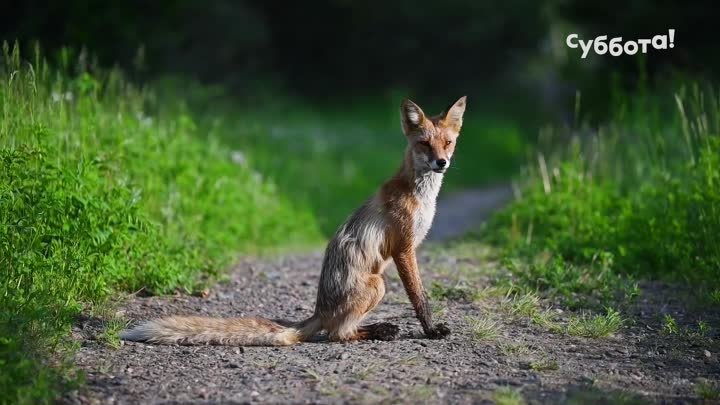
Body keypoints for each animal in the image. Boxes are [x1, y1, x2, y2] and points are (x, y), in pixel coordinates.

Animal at [121, 95, 470, 344]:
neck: (420, 195)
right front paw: (430, 331)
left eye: (448, 143)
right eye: (424, 144)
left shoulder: (408, 248)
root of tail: (318, 310)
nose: (441, 162)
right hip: (377, 284)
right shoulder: (403, 249)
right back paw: (380, 331)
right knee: (336, 333)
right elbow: (419, 298)